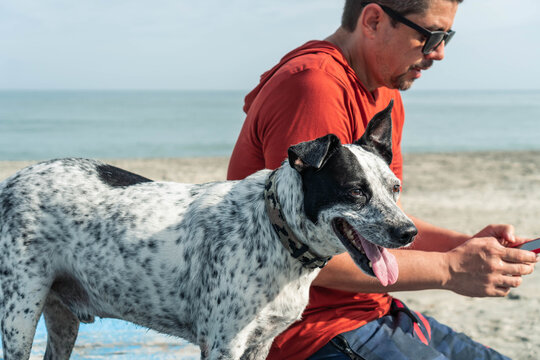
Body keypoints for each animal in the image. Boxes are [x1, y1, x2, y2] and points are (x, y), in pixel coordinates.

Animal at [0, 99, 418, 360]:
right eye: (355, 191)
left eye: (395, 188)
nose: (408, 232)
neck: (275, 231)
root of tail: (11, 181)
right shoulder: (222, 344)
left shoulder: (259, 344)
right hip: (19, 317)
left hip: (61, 319)